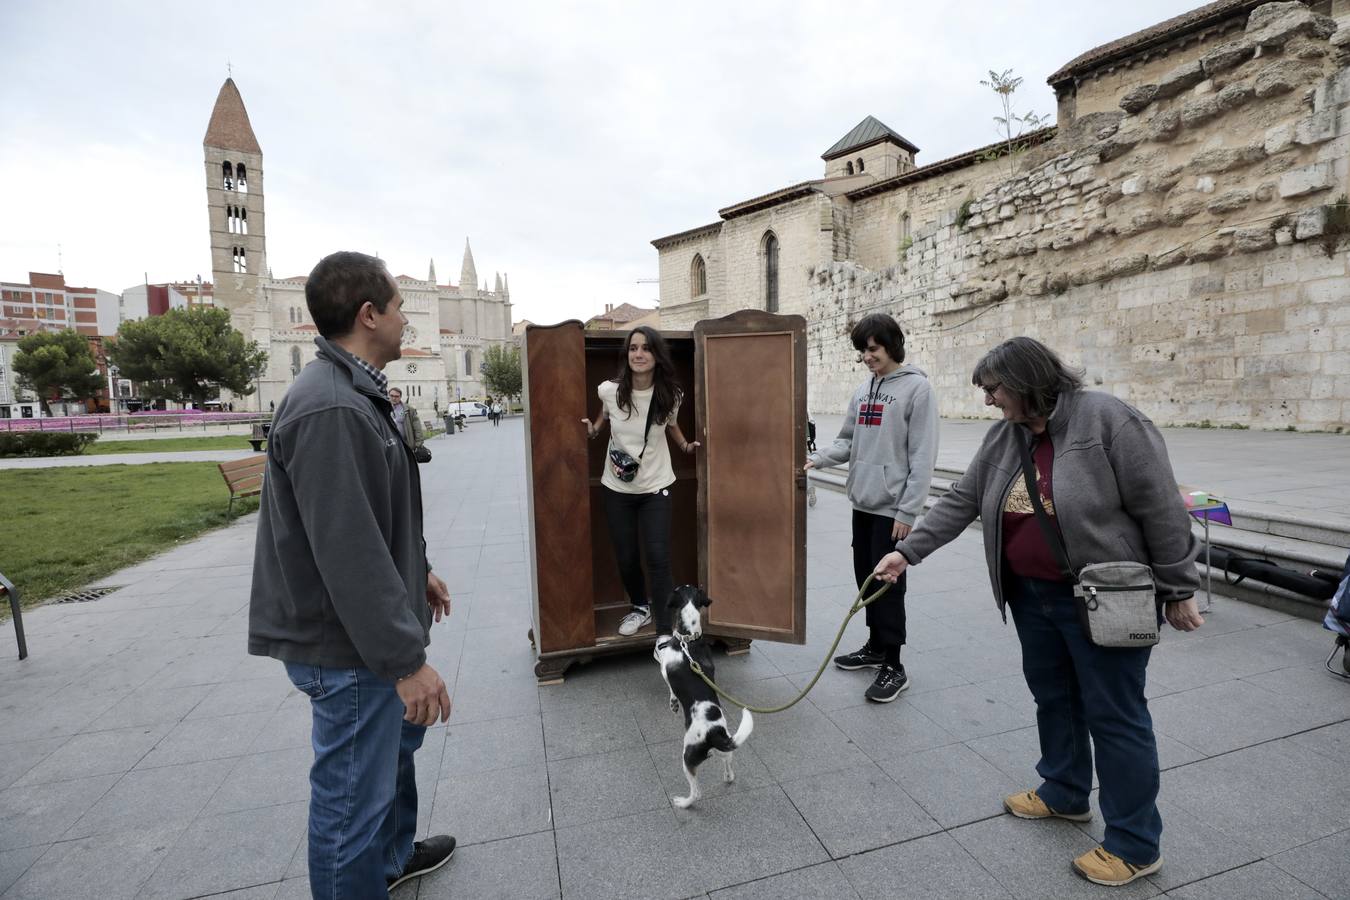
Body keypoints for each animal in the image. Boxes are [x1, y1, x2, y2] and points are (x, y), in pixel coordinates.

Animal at [650, 585, 756, 809]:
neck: (689, 639)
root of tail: (714, 733)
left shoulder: (665, 670)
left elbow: (670, 687)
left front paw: (673, 703)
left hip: (688, 757)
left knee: (696, 792)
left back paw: (683, 803)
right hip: (724, 749)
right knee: (728, 763)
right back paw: (728, 777)